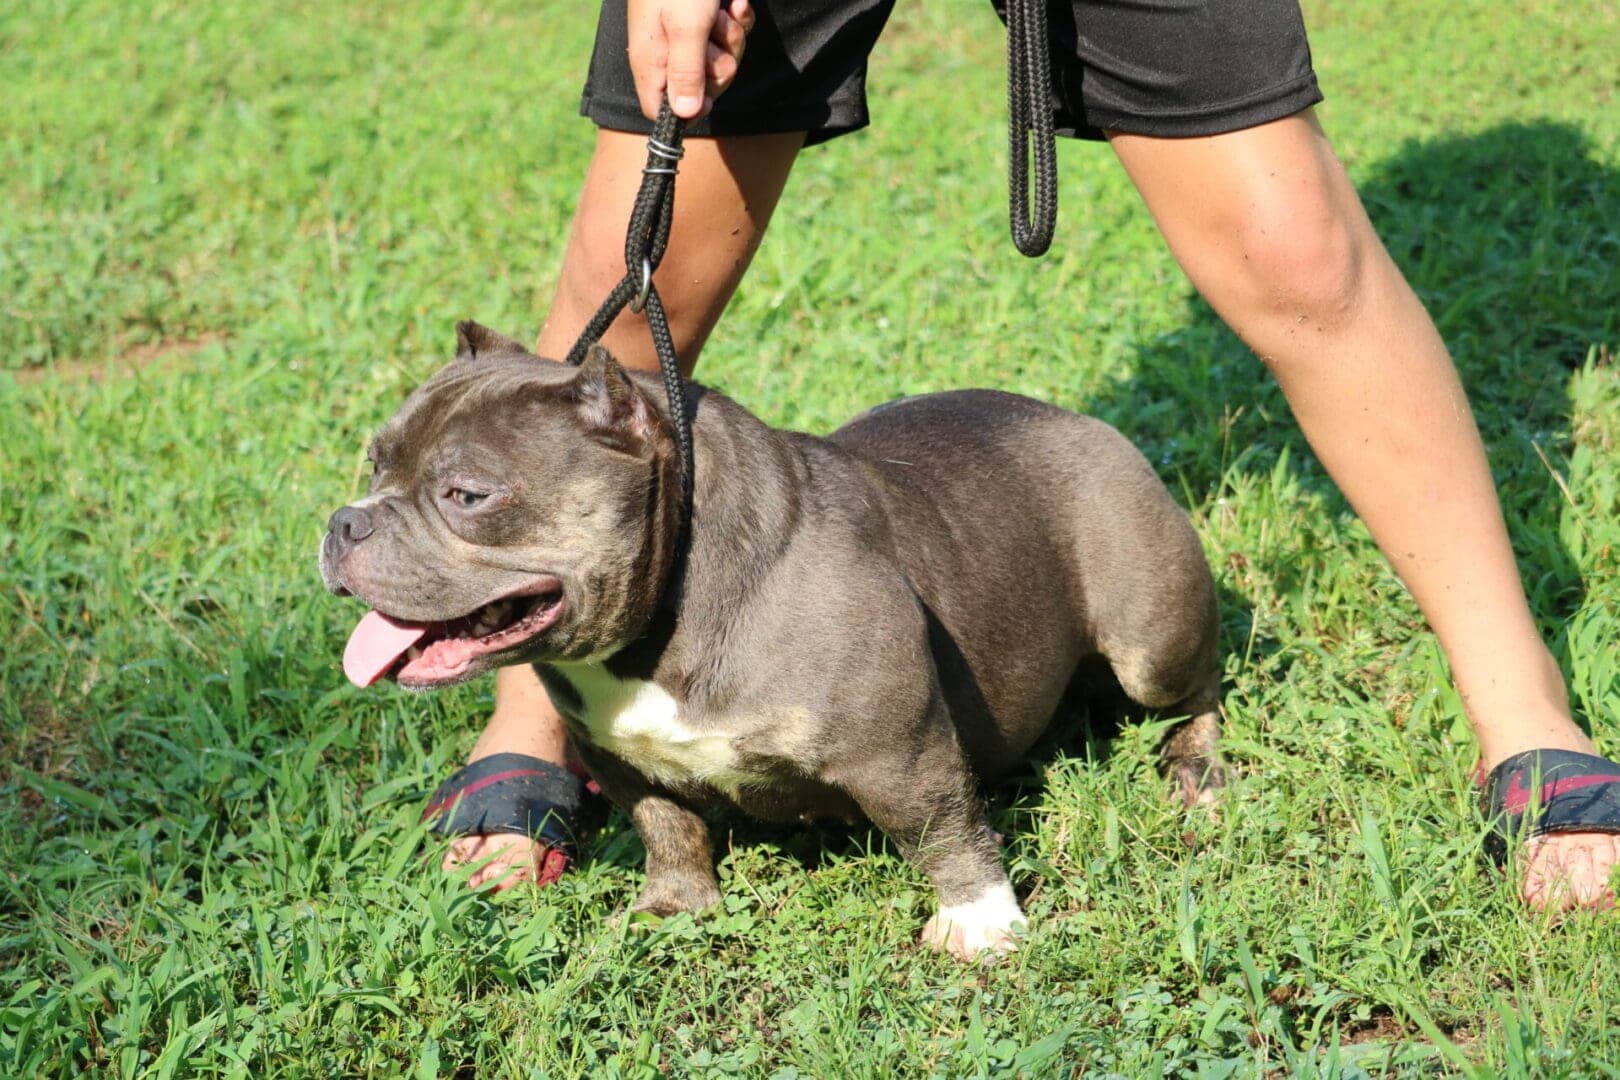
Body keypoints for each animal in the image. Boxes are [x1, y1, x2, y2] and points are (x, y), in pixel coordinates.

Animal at [319, 323, 1224, 965]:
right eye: (373, 463)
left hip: (1149, 638)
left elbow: (941, 830)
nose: (343, 522)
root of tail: (1081, 420)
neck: (662, 615)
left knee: (1195, 685)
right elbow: (667, 825)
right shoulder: (618, 759)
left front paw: (981, 924)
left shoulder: (902, 751)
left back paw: (1195, 768)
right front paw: (674, 908)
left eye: (467, 496)